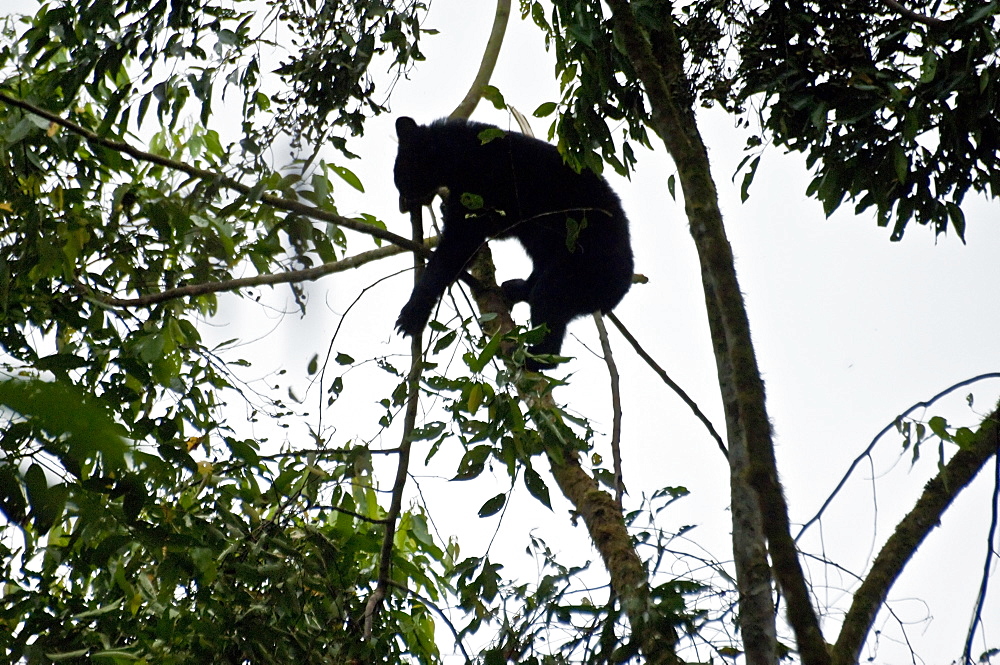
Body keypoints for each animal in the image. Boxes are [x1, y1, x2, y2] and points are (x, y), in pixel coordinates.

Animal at [392, 116, 632, 370]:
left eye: (403, 179)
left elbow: (457, 246)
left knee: (548, 297)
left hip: (581, 268)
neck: (462, 154)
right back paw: (515, 289)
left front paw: (411, 316)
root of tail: (616, 295)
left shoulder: (483, 186)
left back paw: (531, 356)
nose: (402, 203)